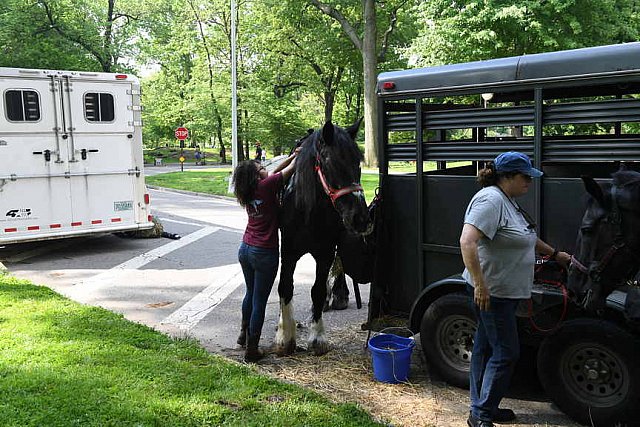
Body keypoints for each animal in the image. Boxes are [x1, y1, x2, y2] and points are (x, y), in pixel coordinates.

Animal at [276, 118, 370, 356]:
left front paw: (317, 337)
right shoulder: (288, 252)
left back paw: (338, 295)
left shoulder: (325, 252)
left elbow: (317, 290)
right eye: (330, 162)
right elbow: (285, 287)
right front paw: (285, 336)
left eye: (358, 162)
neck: (309, 211)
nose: (361, 218)